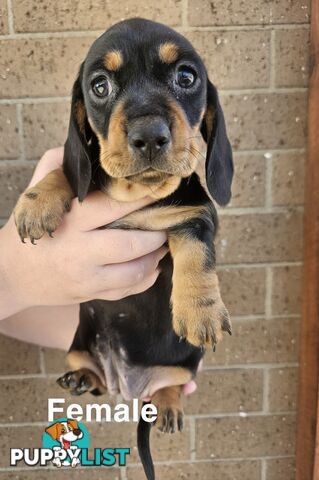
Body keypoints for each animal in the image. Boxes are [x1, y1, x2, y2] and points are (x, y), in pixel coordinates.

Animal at [13, 18, 234, 480]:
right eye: (100, 86)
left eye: (187, 77)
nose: (149, 136)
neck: (139, 195)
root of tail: (127, 384)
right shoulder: (85, 172)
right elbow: (71, 169)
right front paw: (36, 203)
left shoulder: (196, 215)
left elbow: (196, 252)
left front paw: (200, 311)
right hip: (78, 344)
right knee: (90, 374)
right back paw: (84, 380)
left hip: (183, 361)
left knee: (170, 385)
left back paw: (167, 405)